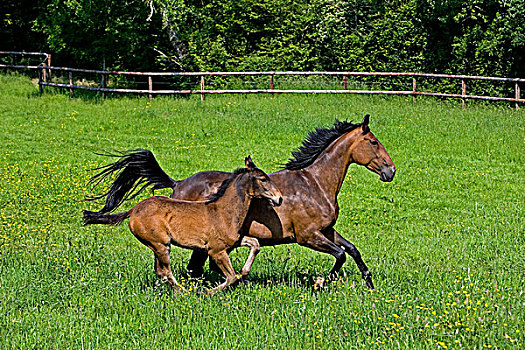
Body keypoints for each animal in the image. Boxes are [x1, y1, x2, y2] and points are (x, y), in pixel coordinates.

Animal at [84, 157, 282, 292]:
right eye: (263, 179)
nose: (279, 198)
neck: (223, 212)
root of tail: (132, 211)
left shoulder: (233, 242)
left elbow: (255, 245)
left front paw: (244, 271)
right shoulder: (216, 250)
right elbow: (231, 276)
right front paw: (207, 292)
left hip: (158, 246)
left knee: (160, 272)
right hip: (161, 244)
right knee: (165, 272)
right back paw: (184, 292)